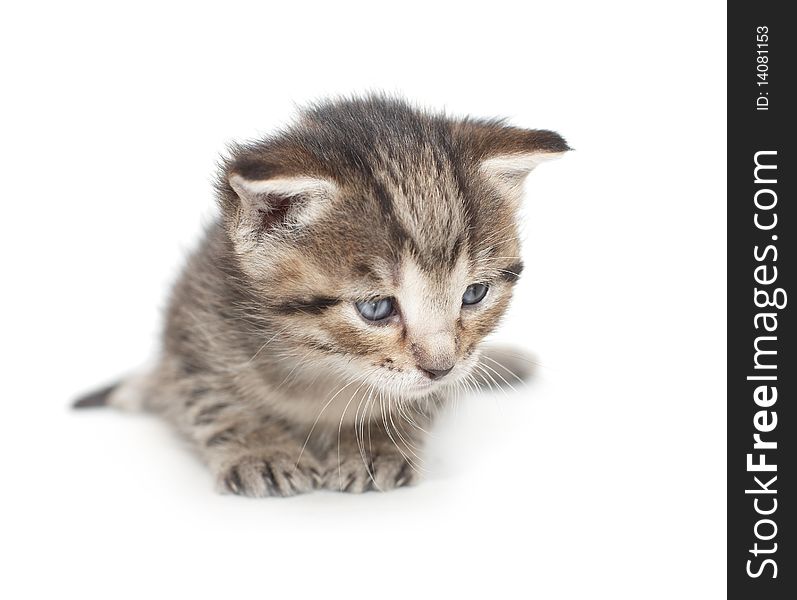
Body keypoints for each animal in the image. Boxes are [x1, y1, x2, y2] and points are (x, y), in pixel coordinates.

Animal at [74, 95, 564, 496]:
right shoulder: (196, 323)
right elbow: (215, 400)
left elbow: (416, 401)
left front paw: (376, 443)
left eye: (474, 294)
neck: (323, 368)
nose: (440, 368)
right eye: (376, 308)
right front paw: (261, 449)